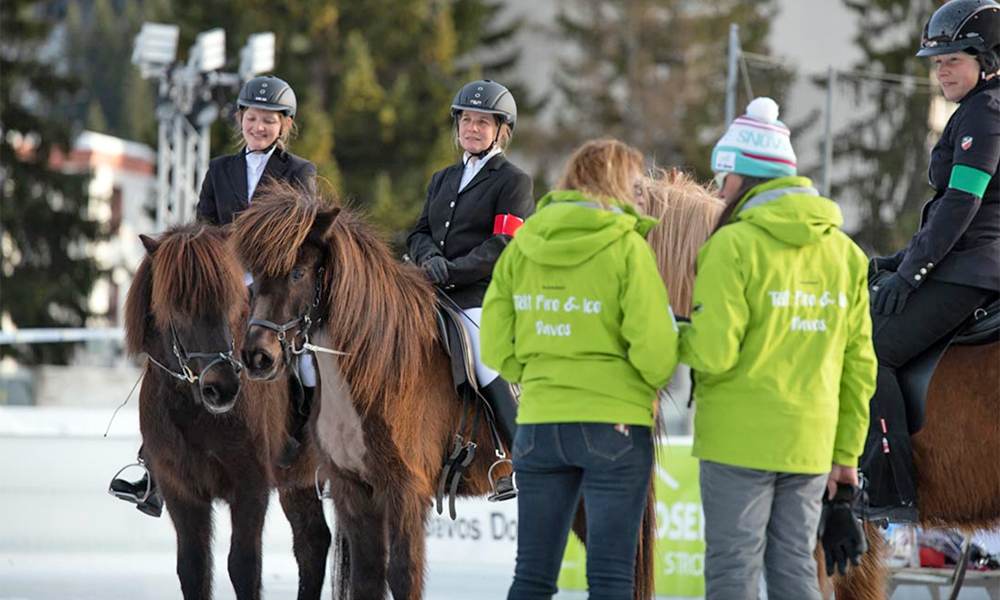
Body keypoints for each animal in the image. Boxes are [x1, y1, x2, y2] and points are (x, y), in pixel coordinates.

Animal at [125, 224, 332, 600]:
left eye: (231, 304)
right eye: (173, 308)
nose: (222, 388)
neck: (198, 416)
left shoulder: (251, 487)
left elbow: (244, 567)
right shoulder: (181, 491)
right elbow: (193, 569)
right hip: (297, 481)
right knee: (312, 541)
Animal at [230, 185, 660, 600]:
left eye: (298, 272)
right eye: (256, 275)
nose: (256, 357)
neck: (375, 365)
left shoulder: (405, 491)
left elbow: (403, 577)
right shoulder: (354, 490)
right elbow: (368, 581)